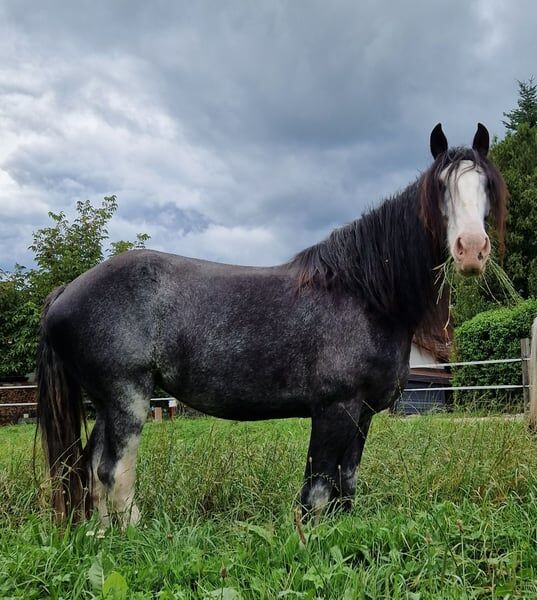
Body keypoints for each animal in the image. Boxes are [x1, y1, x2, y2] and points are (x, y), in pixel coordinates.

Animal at [37, 123, 506, 524]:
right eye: (441, 187)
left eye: (485, 185)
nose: (471, 249)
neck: (365, 294)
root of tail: (66, 291)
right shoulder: (334, 409)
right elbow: (318, 490)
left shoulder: (363, 414)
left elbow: (347, 484)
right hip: (126, 397)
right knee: (113, 472)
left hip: (106, 403)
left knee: (90, 469)